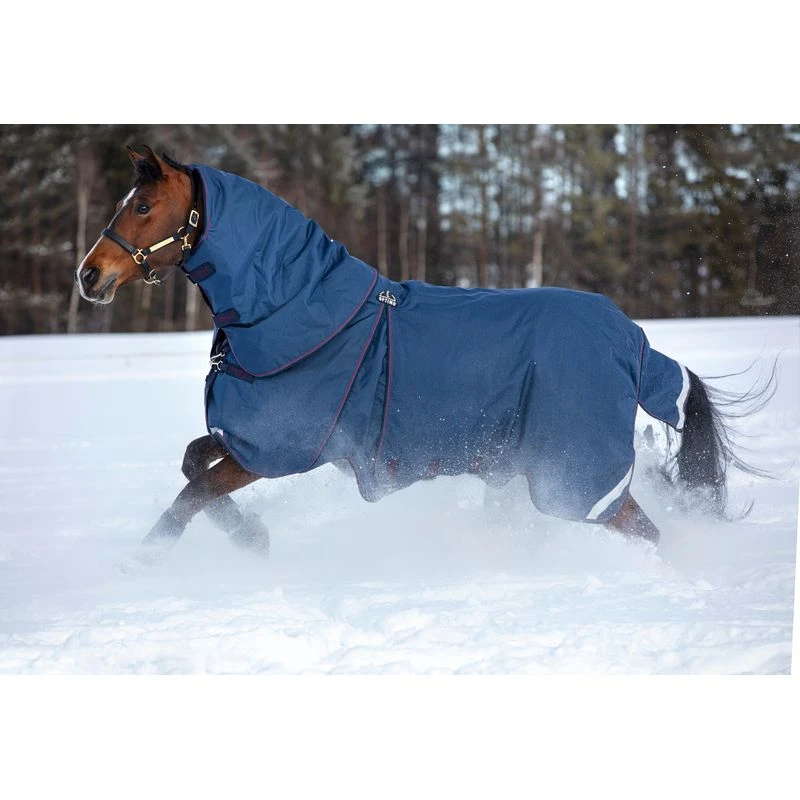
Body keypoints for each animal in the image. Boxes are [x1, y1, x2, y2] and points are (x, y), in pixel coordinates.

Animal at [75, 145, 764, 560]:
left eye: (142, 206)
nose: (89, 275)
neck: (301, 311)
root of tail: (633, 340)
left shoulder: (279, 449)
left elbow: (192, 493)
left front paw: (150, 557)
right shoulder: (251, 442)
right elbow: (193, 466)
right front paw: (252, 537)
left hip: (573, 480)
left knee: (645, 529)